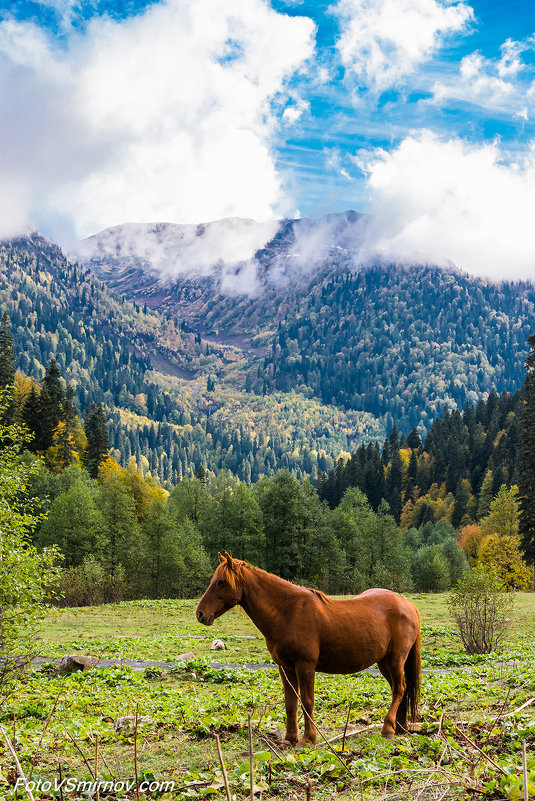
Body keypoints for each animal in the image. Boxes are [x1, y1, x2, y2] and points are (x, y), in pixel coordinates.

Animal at [197, 552, 422, 744]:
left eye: (221, 582)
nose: (200, 613)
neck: (287, 612)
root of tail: (407, 605)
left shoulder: (305, 666)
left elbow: (307, 701)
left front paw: (308, 738)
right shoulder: (285, 668)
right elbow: (290, 703)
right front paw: (290, 738)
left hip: (395, 660)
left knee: (399, 689)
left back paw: (388, 728)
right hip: (384, 662)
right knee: (399, 690)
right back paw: (399, 727)